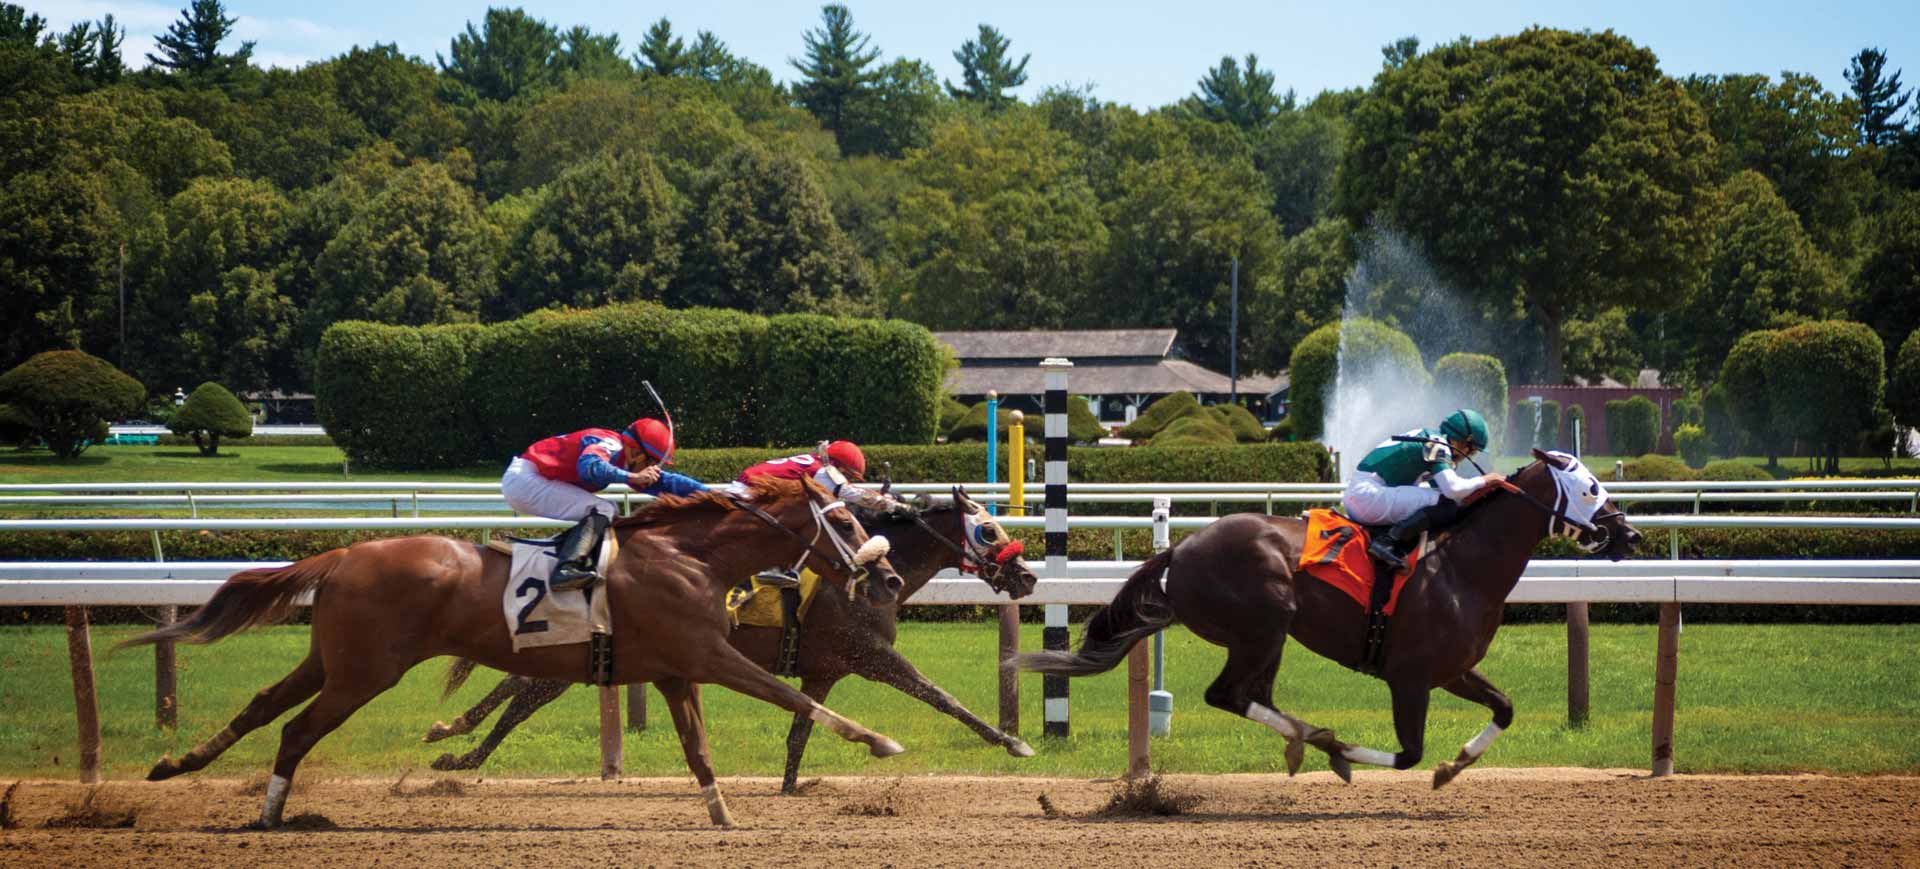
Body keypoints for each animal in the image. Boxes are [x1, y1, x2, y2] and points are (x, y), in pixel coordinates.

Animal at [121, 477, 908, 829]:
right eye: (843, 520)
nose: (891, 579)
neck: (692, 557)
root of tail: (343, 552)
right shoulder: (708, 655)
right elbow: (795, 695)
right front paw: (880, 740)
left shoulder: (676, 669)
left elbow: (699, 750)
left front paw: (722, 817)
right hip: (365, 672)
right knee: (296, 728)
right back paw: (270, 813)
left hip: (333, 660)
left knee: (263, 706)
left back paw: (175, 765)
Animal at [422, 487, 1043, 792]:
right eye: (990, 530)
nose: (1027, 577)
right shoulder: (870, 654)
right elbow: (942, 696)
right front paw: (1013, 742)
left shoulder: (825, 668)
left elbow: (802, 727)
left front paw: (790, 785)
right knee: (521, 698)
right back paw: (458, 748)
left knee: (519, 690)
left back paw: (454, 740)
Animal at [1015, 449, 1641, 787]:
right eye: (1591, 488)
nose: (1631, 535)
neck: (1462, 566)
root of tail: (1183, 548)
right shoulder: (1410, 679)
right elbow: (1408, 754)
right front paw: (1350, 754)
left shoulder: (1452, 670)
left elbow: (1504, 709)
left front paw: (1454, 766)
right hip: (1265, 623)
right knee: (1228, 694)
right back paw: (1317, 739)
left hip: (1268, 638)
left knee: (1252, 696)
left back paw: (1306, 739)